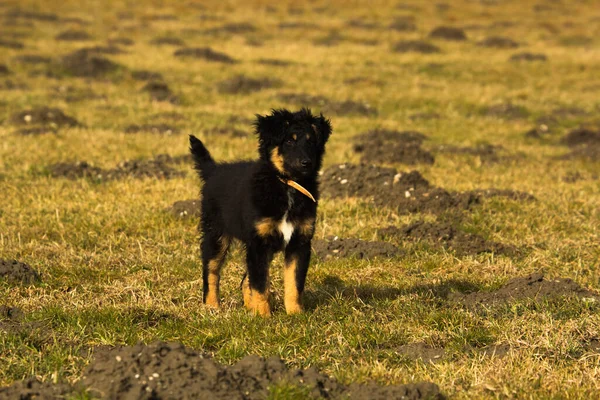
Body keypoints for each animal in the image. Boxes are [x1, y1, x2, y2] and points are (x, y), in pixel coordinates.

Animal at [189, 108, 332, 316]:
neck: (286, 185)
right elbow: (260, 284)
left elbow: (294, 283)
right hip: (215, 234)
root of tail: (214, 171)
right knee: (211, 271)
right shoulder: (259, 243)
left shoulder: (299, 243)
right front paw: (263, 316)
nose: (306, 163)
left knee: (244, 280)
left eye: (311, 142)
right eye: (289, 141)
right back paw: (212, 307)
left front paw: (296, 314)